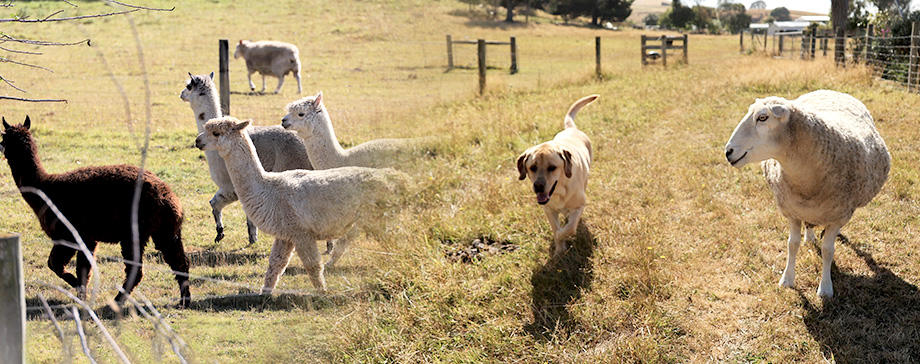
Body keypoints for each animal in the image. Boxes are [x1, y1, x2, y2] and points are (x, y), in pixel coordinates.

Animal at [181, 72, 314, 246]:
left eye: (188, 86)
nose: (181, 94)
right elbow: (216, 204)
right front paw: (227, 234)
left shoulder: (231, 187)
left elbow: (217, 204)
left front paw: (243, 237)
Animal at [196, 116, 404, 292]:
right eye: (206, 128)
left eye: (216, 133)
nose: (197, 141)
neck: (267, 188)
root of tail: (393, 177)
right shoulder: (285, 234)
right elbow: (275, 264)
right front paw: (264, 294)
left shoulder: (301, 232)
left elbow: (313, 266)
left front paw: (322, 293)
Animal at [512, 95, 600, 258]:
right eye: (532, 168)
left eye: (552, 167)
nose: (538, 186)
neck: (560, 190)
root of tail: (571, 129)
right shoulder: (548, 210)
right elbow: (556, 229)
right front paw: (559, 251)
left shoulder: (579, 206)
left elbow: (568, 228)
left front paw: (561, 237)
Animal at [724, 89, 892, 298]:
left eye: (763, 117)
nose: (728, 152)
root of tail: (830, 90)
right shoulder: (792, 211)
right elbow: (792, 244)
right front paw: (787, 279)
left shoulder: (839, 215)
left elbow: (828, 250)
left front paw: (825, 288)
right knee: (810, 223)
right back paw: (810, 235)